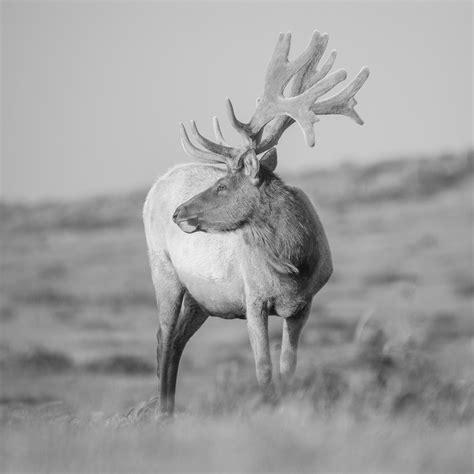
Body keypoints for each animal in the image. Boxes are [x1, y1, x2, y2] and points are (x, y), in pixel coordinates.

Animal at [143, 31, 368, 414]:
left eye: (221, 186)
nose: (179, 213)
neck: (295, 264)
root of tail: (155, 187)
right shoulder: (253, 300)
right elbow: (263, 369)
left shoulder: (303, 306)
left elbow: (287, 368)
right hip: (164, 271)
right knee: (163, 338)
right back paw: (162, 412)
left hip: (202, 300)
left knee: (175, 342)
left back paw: (169, 410)